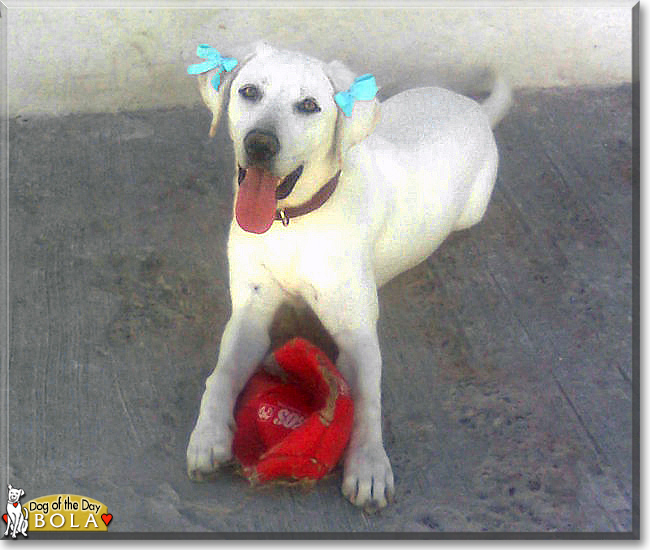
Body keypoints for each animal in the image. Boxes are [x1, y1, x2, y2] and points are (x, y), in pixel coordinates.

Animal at [185, 41, 508, 512]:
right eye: (249, 92)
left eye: (308, 106)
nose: (259, 144)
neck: (293, 224)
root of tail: (476, 109)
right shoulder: (250, 312)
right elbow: (222, 372)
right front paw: (209, 433)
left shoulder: (358, 333)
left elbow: (368, 399)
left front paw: (369, 465)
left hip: (471, 210)